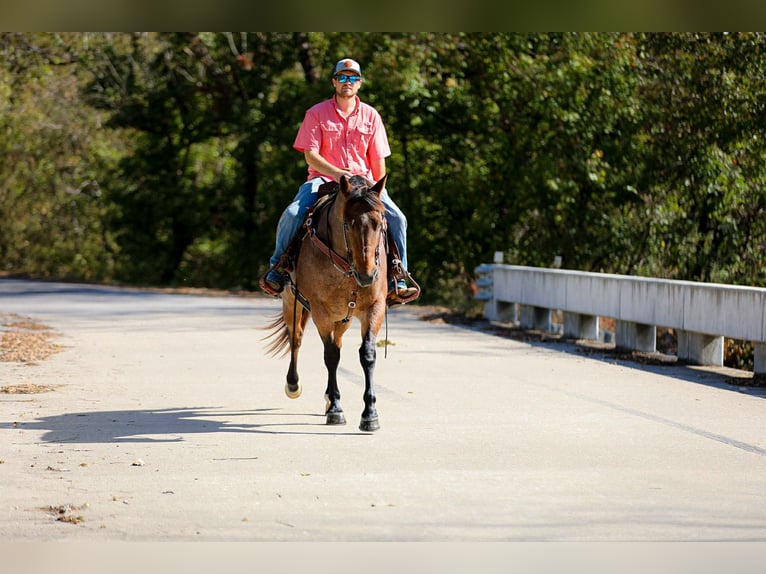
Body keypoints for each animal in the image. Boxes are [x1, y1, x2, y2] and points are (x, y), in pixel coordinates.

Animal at [264, 174, 389, 432]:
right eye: (347, 224)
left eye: (379, 223)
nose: (367, 275)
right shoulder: (320, 312)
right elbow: (331, 356)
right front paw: (336, 409)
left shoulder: (375, 307)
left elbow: (367, 354)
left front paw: (370, 414)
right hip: (291, 302)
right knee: (296, 339)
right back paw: (294, 385)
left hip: (343, 317)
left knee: (337, 340)